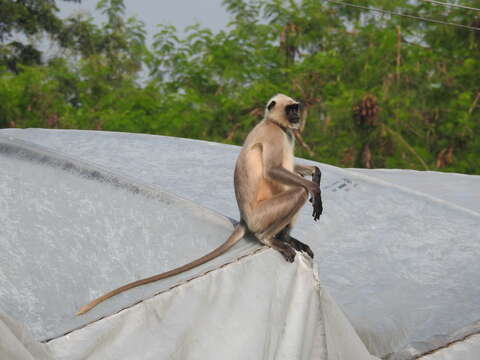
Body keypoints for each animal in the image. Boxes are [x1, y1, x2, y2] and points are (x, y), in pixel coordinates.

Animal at [75, 94, 322, 316]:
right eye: (290, 109)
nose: (297, 116)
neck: (274, 124)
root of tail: (244, 218)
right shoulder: (273, 135)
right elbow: (274, 171)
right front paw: (316, 188)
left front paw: (316, 174)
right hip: (261, 216)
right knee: (299, 191)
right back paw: (269, 238)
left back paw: (287, 237)